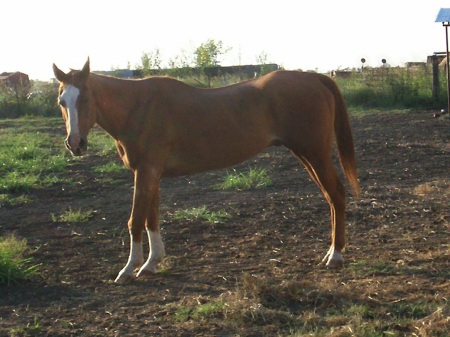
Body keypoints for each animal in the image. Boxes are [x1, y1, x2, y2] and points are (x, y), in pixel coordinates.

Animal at [51, 59, 358, 282]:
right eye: (61, 102)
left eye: (86, 98)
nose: (75, 144)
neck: (138, 108)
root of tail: (315, 78)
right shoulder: (151, 174)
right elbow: (152, 219)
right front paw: (151, 263)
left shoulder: (145, 173)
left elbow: (135, 220)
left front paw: (128, 270)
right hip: (306, 155)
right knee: (331, 197)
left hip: (315, 154)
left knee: (336, 194)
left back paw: (335, 255)